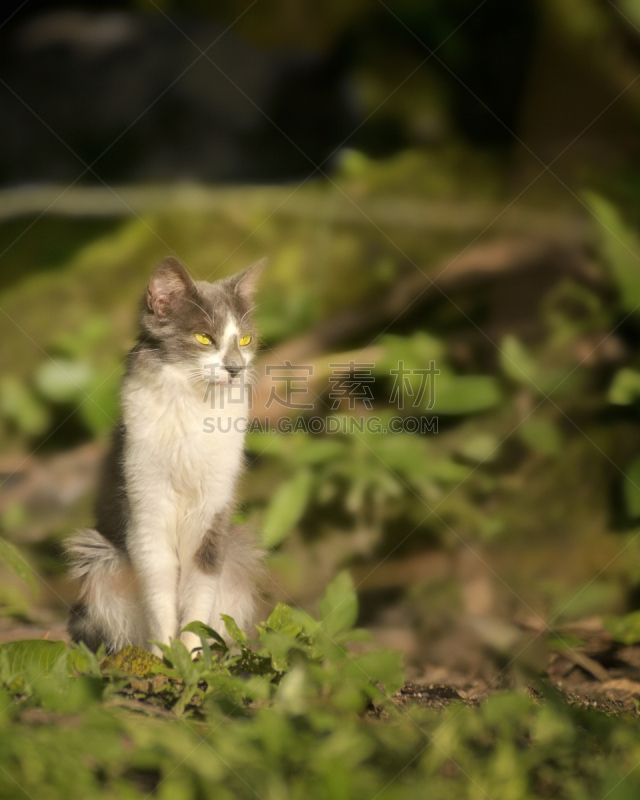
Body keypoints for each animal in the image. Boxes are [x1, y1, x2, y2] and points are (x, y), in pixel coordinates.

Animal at [66, 256, 264, 656]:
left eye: (245, 339)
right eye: (204, 338)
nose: (235, 369)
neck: (192, 403)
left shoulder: (212, 515)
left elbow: (199, 593)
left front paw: (192, 656)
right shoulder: (147, 507)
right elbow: (159, 592)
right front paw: (164, 658)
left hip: (239, 553)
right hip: (99, 557)